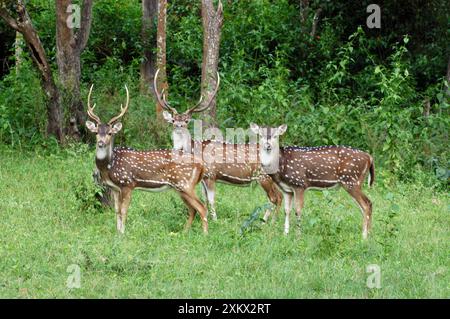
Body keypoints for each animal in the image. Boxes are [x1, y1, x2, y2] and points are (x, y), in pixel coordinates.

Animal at [85, 85, 208, 235]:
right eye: (96, 132)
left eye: (110, 133)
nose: (101, 143)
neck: (109, 167)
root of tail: (202, 165)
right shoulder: (114, 187)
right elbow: (117, 211)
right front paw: (117, 233)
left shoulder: (128, 183)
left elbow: (124, 211)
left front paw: (122, 234)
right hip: (181, 187)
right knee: (192, 209)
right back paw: (184, 233)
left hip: (185, 184)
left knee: (202, 208)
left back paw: (205, 234)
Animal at [155, 69, 282, 221]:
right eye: (173, 120)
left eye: (186, 121)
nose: (178, 126)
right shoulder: (203, 178)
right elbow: (204, 199)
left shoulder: (211, 174)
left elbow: (211, 200)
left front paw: (215, 220)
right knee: (278, 196)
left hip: (264, 176)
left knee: (275, 198)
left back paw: (270, 221)